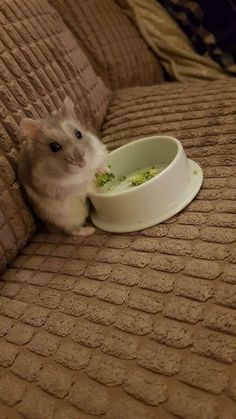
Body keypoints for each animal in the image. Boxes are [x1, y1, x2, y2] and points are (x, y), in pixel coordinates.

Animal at [18, 97, 108, 238]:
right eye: (54, 147)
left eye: (78, 133)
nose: (82, 163)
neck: (82, 171)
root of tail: (48, 227)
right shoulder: (59, 186)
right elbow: (81, 183)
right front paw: (91, 180)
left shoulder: (99, 151)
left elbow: (98, 164)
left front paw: (103, 170)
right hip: (67, 218)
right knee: (70, 230)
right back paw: (89, 231)